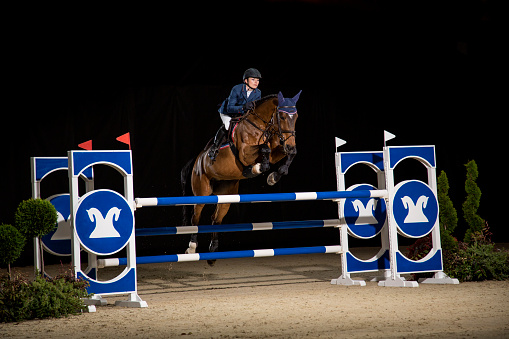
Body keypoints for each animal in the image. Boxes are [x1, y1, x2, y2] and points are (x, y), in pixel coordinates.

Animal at [181, 91, 300, 266]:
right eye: (283, 116)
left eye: (296, 117)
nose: (290, 144)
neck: (261, 125)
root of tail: (197, 159)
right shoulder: (245, 153)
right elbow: (263, 149)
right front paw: (256, 169)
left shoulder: (275, 152)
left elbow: (284, 154)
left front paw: (274, 176)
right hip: (201, 190)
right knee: (195, 217)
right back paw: (191, 247)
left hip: (226, 195)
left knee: (216, 219)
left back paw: (212, 254)